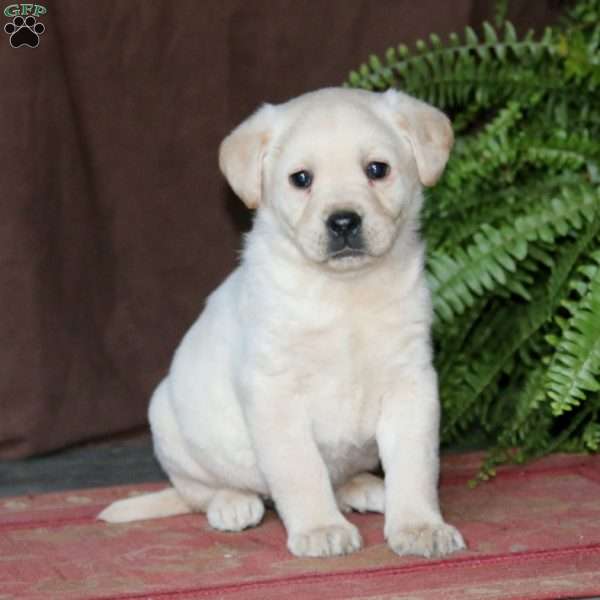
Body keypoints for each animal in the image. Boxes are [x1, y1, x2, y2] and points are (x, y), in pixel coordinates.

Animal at [98, 86, 466, 560]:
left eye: (377, 169)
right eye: (301, 179)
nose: (343, 221)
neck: (343, 291)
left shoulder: (411, 383)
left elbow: (415, 466)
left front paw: (420, 526)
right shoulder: (274, 390)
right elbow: (300, 468)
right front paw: (320, 528)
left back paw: (363, 487)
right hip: (167, 424)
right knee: (199, 491)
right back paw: (233, 503)